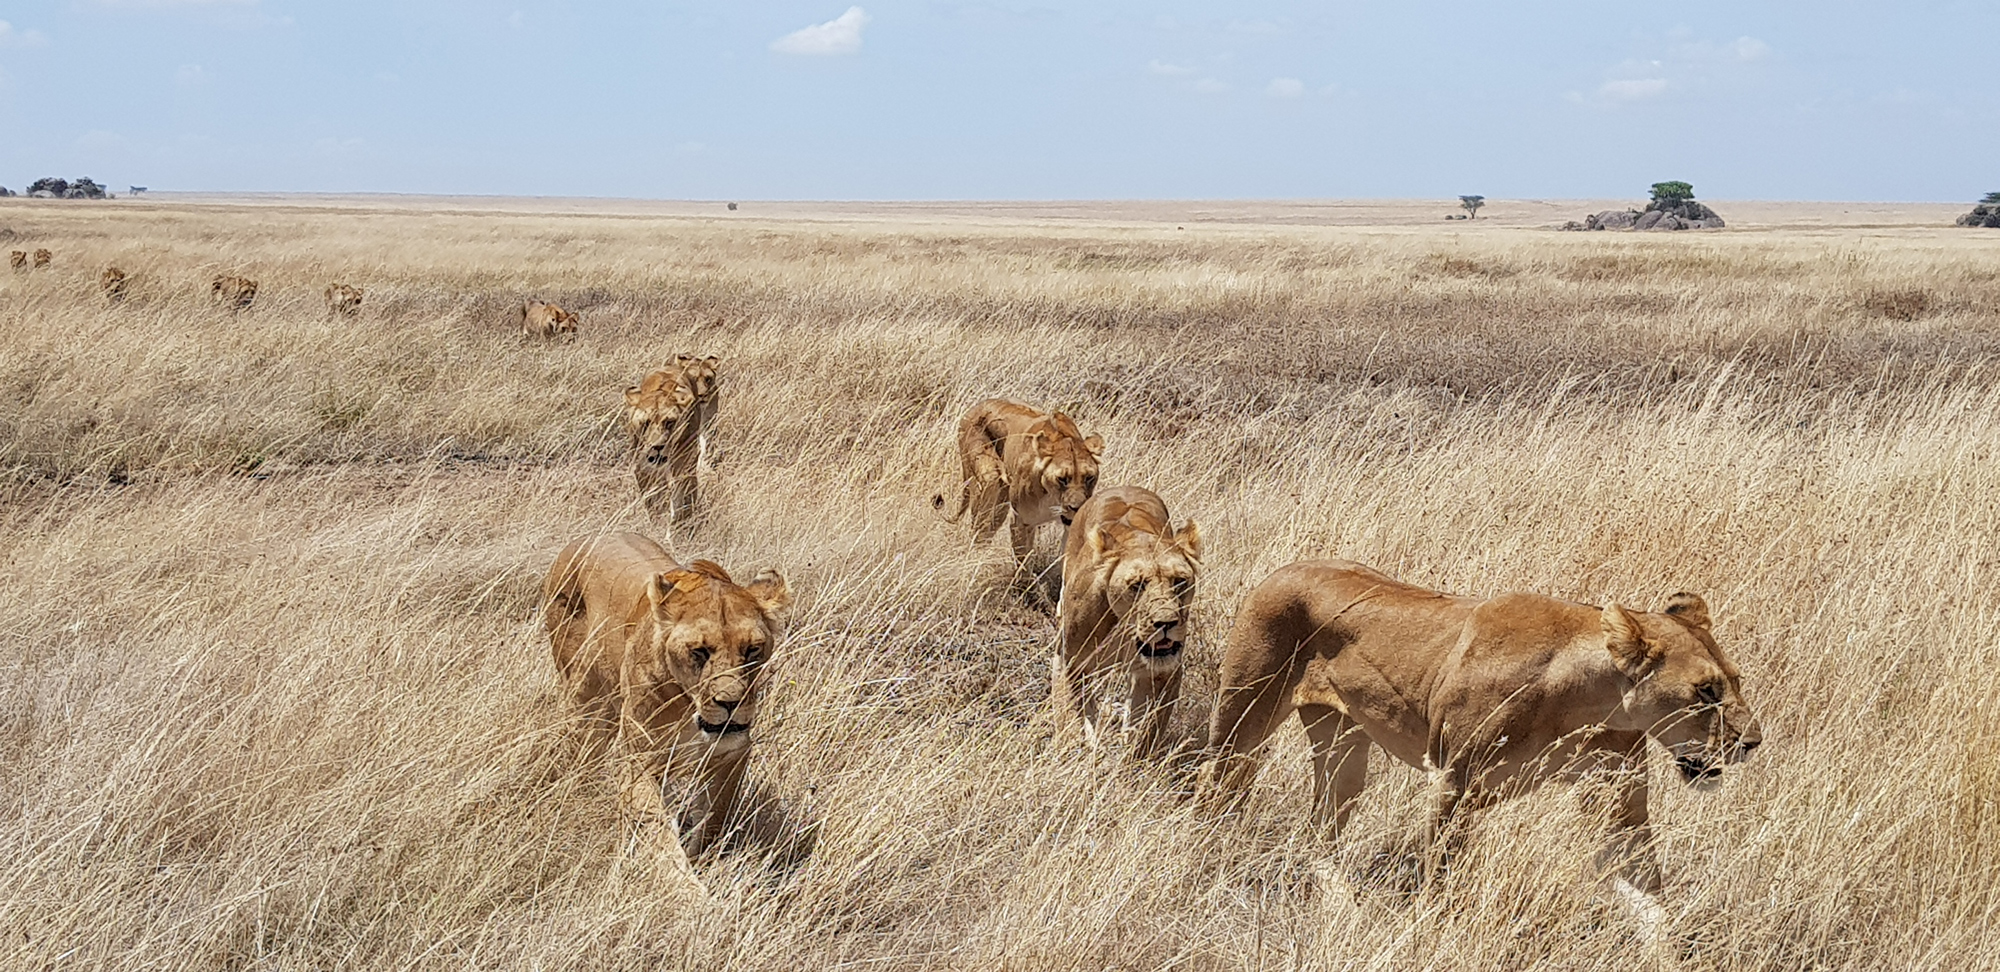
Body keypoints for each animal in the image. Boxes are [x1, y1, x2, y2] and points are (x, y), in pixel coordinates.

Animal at [548, 532, 796, 888]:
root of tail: (589, 537)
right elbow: (657, 832)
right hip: (584, 701)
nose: (730, 703)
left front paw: (701, 861)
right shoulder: (638, 760)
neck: (688, 707)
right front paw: (687, 891)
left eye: (752, 650)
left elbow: (714, 819)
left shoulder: (731, 754)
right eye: (699, 652)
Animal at [624, 370, 704, 524]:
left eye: (669, 422)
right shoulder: (643, 469)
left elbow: (681, 495)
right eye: (646, 423)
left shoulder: (683, 464)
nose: (658, 446)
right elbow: (653, 500)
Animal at [1048, 486, 1200, 760]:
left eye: (1180, 581)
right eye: (1137, 585)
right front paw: (1076, 752)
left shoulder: (1162, 671)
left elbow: (1146, 728)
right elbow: (1070, 717)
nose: (1166, 622)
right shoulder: (1068, 659)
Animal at [1192, 560, 1760, 944]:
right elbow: (1441, 874)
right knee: (1213, 783)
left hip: (1344, 747)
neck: (1586, 700)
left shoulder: (1620, 799)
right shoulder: (1453, 783)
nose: (1753, 743)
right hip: (1245, 713)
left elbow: (1647, 896)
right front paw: (1429, 931)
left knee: (1320, 832)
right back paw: (1204, 857)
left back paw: (1343, 909)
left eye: (1735, 681)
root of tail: (1287, 566)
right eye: (1705, 691)